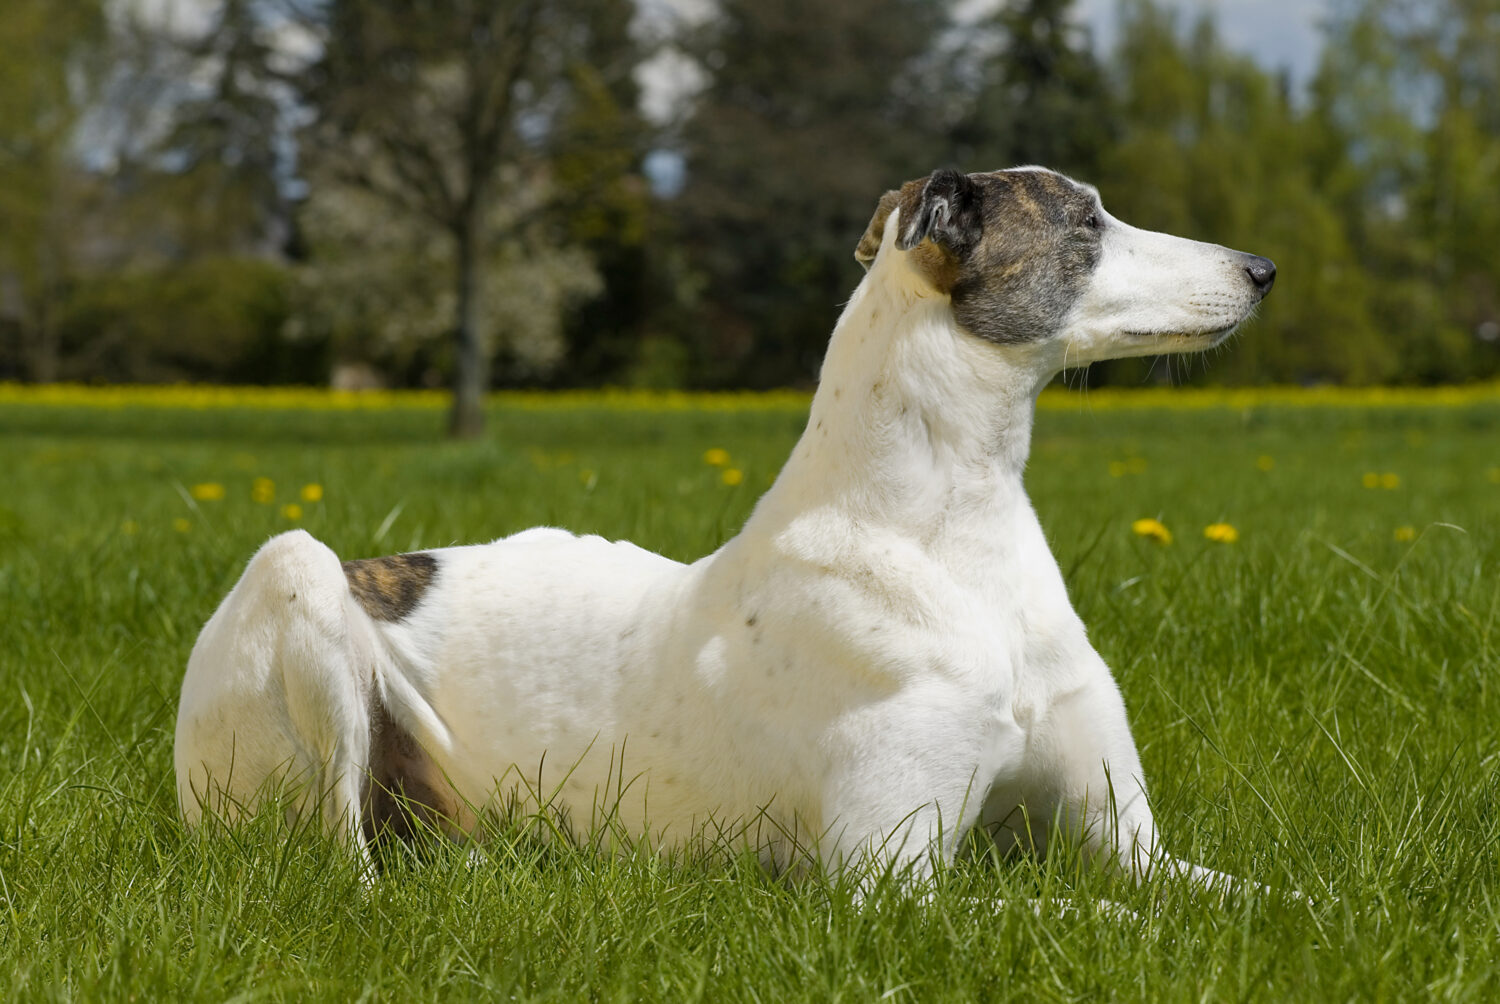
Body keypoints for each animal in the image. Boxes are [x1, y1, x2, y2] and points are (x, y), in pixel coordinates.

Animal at [175, 166, 1278, 894]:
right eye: (1088, 222)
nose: (1263, 266)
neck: (941, 539)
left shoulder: (1133, 844)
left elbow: (1261, 902)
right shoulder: (888, 881)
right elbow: (1064, 910)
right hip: (297, 573)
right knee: (342, 859)